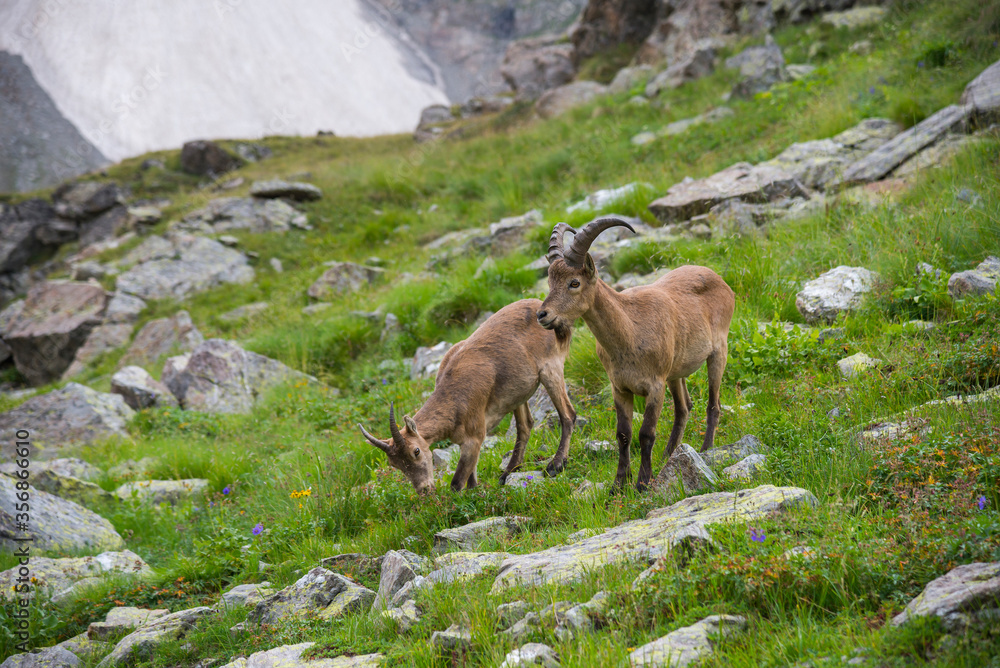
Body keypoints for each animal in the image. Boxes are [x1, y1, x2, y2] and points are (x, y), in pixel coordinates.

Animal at [360, 300, 580, 494]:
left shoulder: (474, 437)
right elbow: (471, 479)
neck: (453, 399)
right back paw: (508, 472)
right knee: (525, 425)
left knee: (568, 415)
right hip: (519, 393)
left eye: (416, 451)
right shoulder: (468, 442)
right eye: (394, 464)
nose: (425, 490)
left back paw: (555, 465)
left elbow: (457, 483)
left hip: (550, 369)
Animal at [540, 217, 736, 494]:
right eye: (550, 282)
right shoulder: (620, 388)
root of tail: (721, 281)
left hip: (718, 352)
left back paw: (706, 449)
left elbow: (646, 433)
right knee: (684, 408)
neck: (630, 332)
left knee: (713, 404)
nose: (542, 315)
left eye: (574, 282)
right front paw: (619, 484)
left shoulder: (655, 386)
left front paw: (643, 482)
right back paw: (668, 455)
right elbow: (623, 434)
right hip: (675, 372)